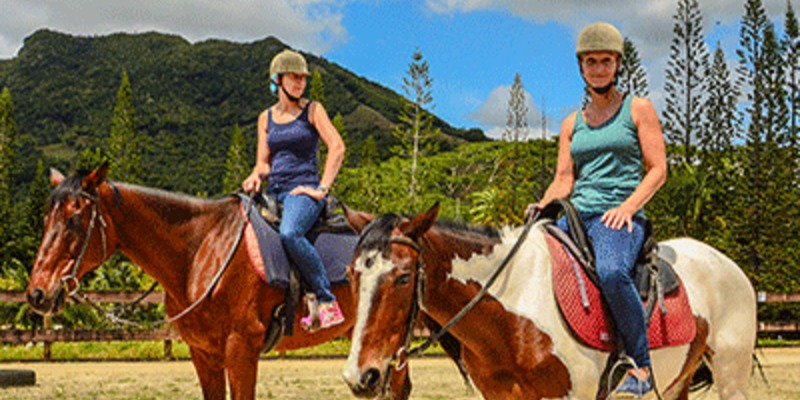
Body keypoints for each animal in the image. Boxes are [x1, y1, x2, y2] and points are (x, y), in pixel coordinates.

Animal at [25, 163, 424, 400]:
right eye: (46, 220)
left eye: (75, 220)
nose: (37, 293)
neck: (201, 251)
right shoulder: (204, 353)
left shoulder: (240, 349)